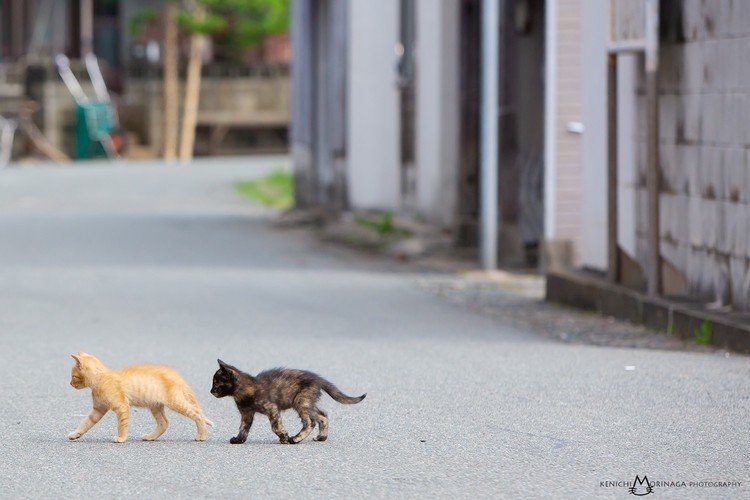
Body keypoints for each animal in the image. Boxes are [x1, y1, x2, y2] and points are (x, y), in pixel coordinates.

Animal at [68, 352, 214, 442]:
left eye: (73, 376)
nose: (70, 384)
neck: (101, 379)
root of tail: (177, 375)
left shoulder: (121, 406)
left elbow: (122, 424)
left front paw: (121, 438)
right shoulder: (98, 409)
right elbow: (85, 423)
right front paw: (76, 434)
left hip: (176, 402)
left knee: (197, 414)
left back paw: (202, 435)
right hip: (156, 406)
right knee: (164, 423)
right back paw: (150, 437)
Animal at [212, 360, 368, 446]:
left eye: (216, 383)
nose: (211, 391)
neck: (243, 392)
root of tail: (317, 379)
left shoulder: (272, 408)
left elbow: (275, 426)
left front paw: (284, 437)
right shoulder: (246, 414)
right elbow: (243, 428)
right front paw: (239, 439)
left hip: (301, 402)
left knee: (310, 422)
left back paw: (296, 439)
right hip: (307, 403)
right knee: (322, 416)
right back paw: (321, 437)